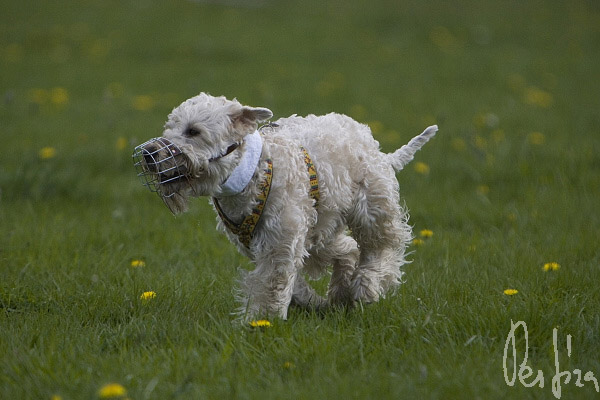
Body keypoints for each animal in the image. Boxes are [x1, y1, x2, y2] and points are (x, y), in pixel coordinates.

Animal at [135, 94, 436, 322]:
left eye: (193, 131)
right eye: (169, 128)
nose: (149, 154)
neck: (251, 172)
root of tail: (381, 153)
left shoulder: (281, 239)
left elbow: (274, 281)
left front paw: (261, 322)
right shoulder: (268, 242)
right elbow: (289, 281)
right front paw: (310, 302)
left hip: (371, 207)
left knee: (382, 246)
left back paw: (366, 287)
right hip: (320, 227)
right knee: (348, 249)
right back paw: (340, 294)